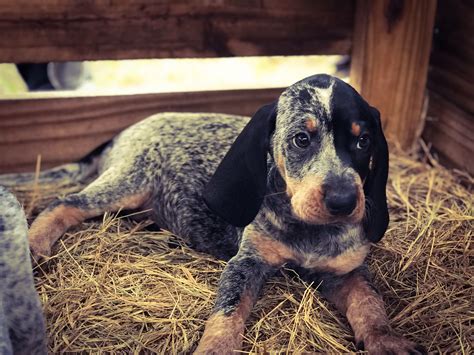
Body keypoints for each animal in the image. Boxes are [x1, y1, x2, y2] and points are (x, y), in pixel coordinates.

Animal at [10, 74, 426, 354]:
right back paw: (33, 243)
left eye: (363, 141)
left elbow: (370, 305)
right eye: (301, 139)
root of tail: (125, 130)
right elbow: (227, 314)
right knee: (64, 202)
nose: (343, 201)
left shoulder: (347, 271)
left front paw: (387, 340)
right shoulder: (245, 264)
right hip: (130, 182)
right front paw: (215, 347)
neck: (309, 231)